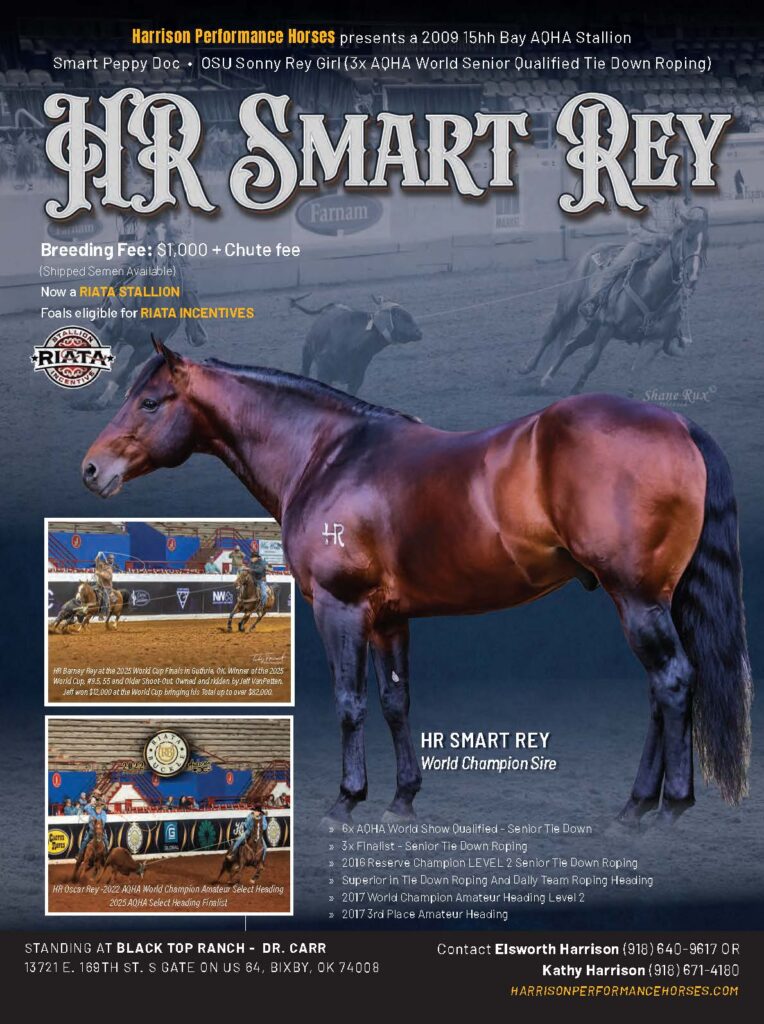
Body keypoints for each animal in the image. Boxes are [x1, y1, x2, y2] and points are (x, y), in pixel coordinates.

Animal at [82, 339, 752, 829]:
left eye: (151, 402)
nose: (91, 469)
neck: (325, 455)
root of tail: (677, 421)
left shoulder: (341, 609)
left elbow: (349, 703)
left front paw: (346, 799)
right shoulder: (388, 618)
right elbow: (395, 703)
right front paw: (402, 798)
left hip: (637, 599)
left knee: (672, 682)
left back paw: (668, 809)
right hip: (651, 600)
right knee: (660, 693)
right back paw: (636, 805)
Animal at [521, 208, 709, 393]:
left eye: (706, 243)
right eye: (688, 238)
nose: (692, 276)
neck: (650, 286)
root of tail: (592, 250)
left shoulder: (654, 342)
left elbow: (635, 374)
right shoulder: (607, 327)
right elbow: (591, 363)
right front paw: (574, 391)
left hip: (593, 327)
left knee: (569, 345)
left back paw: (547, 378)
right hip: (567, 305)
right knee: (549, 334)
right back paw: (528, 367)